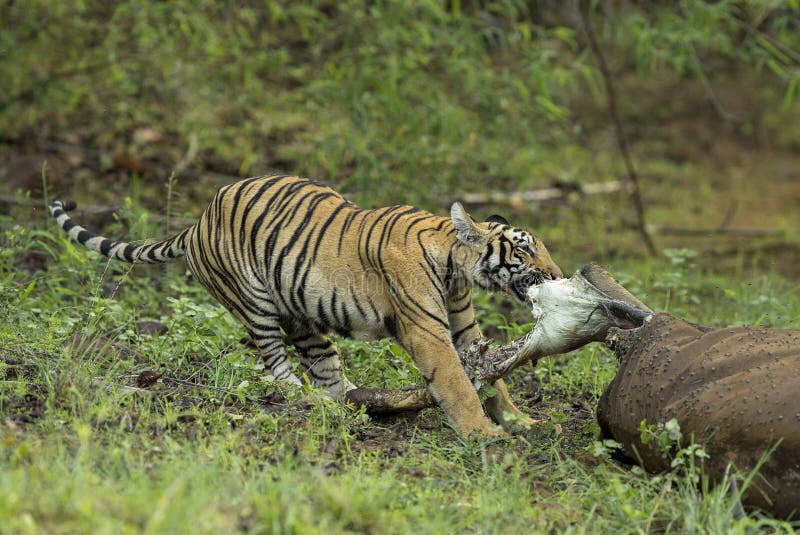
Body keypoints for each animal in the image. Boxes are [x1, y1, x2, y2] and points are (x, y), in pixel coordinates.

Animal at [50, 176, 564, 436]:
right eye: (523, 251)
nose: (558, 273)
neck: (456, 265)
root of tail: (197, 220)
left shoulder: (464, 328)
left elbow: (494, 374)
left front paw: (520, 419)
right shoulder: (428, 332)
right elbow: (457, 383)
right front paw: (484, 434)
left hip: (300, 310)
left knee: (327, 371)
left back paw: (353, 402)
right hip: (254, 302)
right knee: (278, 367)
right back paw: (306, 398)